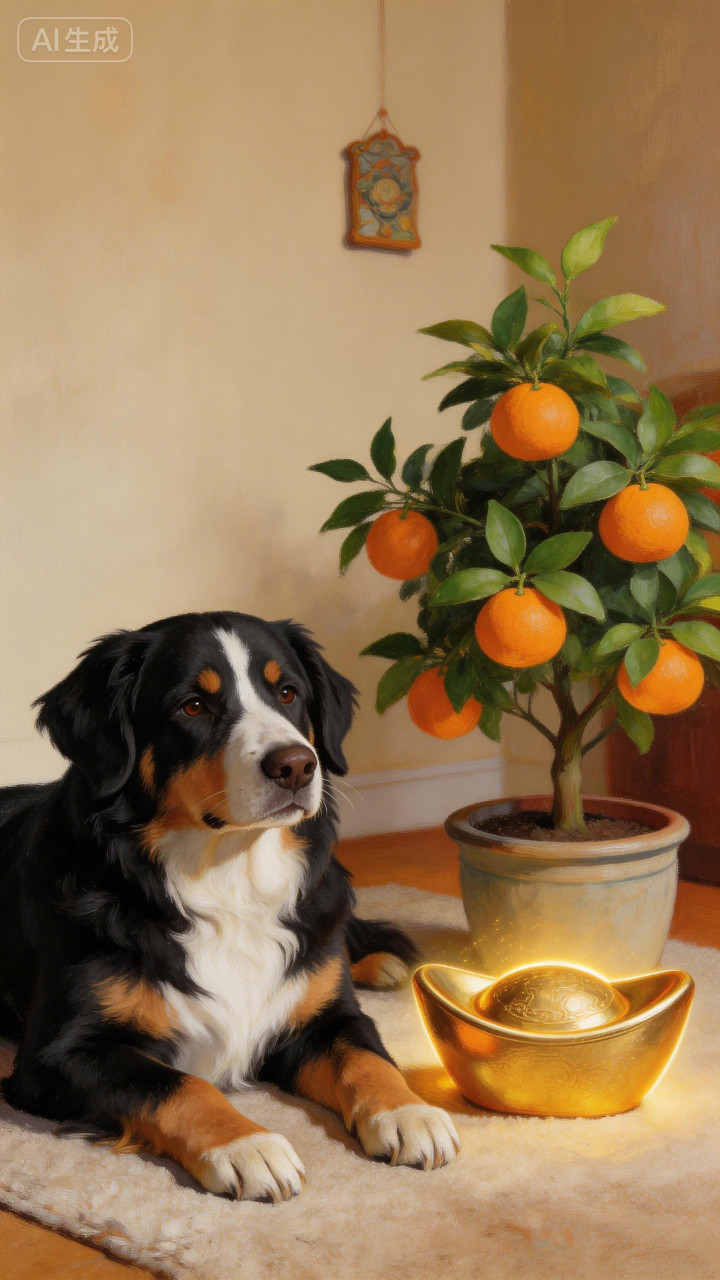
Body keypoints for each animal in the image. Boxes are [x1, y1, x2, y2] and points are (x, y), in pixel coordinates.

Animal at [0, 611, 459, 1201]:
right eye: (194, 705)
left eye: (287, 693)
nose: (297, 765)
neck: (227, 875)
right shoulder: (58, 1053)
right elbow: (177, 1084)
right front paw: (246, 1145)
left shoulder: (330, 1017)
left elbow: (367, 1057)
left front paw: (409, 1113)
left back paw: (381, 963)